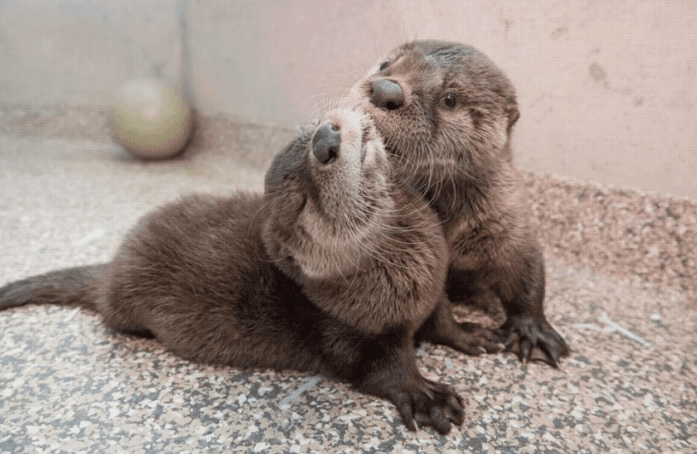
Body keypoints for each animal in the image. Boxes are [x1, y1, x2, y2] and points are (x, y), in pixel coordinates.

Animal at [0, 109, 469, 434]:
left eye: (307, 138)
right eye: (303, 201)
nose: (324, 139)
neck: (408, 276)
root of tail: (113, 267)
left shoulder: (435, 285)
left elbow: (443, 315)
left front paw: (470, 333)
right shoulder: (346, 329)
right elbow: (377, 369)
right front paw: (426, 396)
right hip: (125, 306)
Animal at [349, 40, 570, 367]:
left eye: (450, 99)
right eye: (386, 64)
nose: (385, 90)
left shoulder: (513, 221)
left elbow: (528, 276)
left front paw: (533, 332)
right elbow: (431, 303)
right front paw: (466, 334)